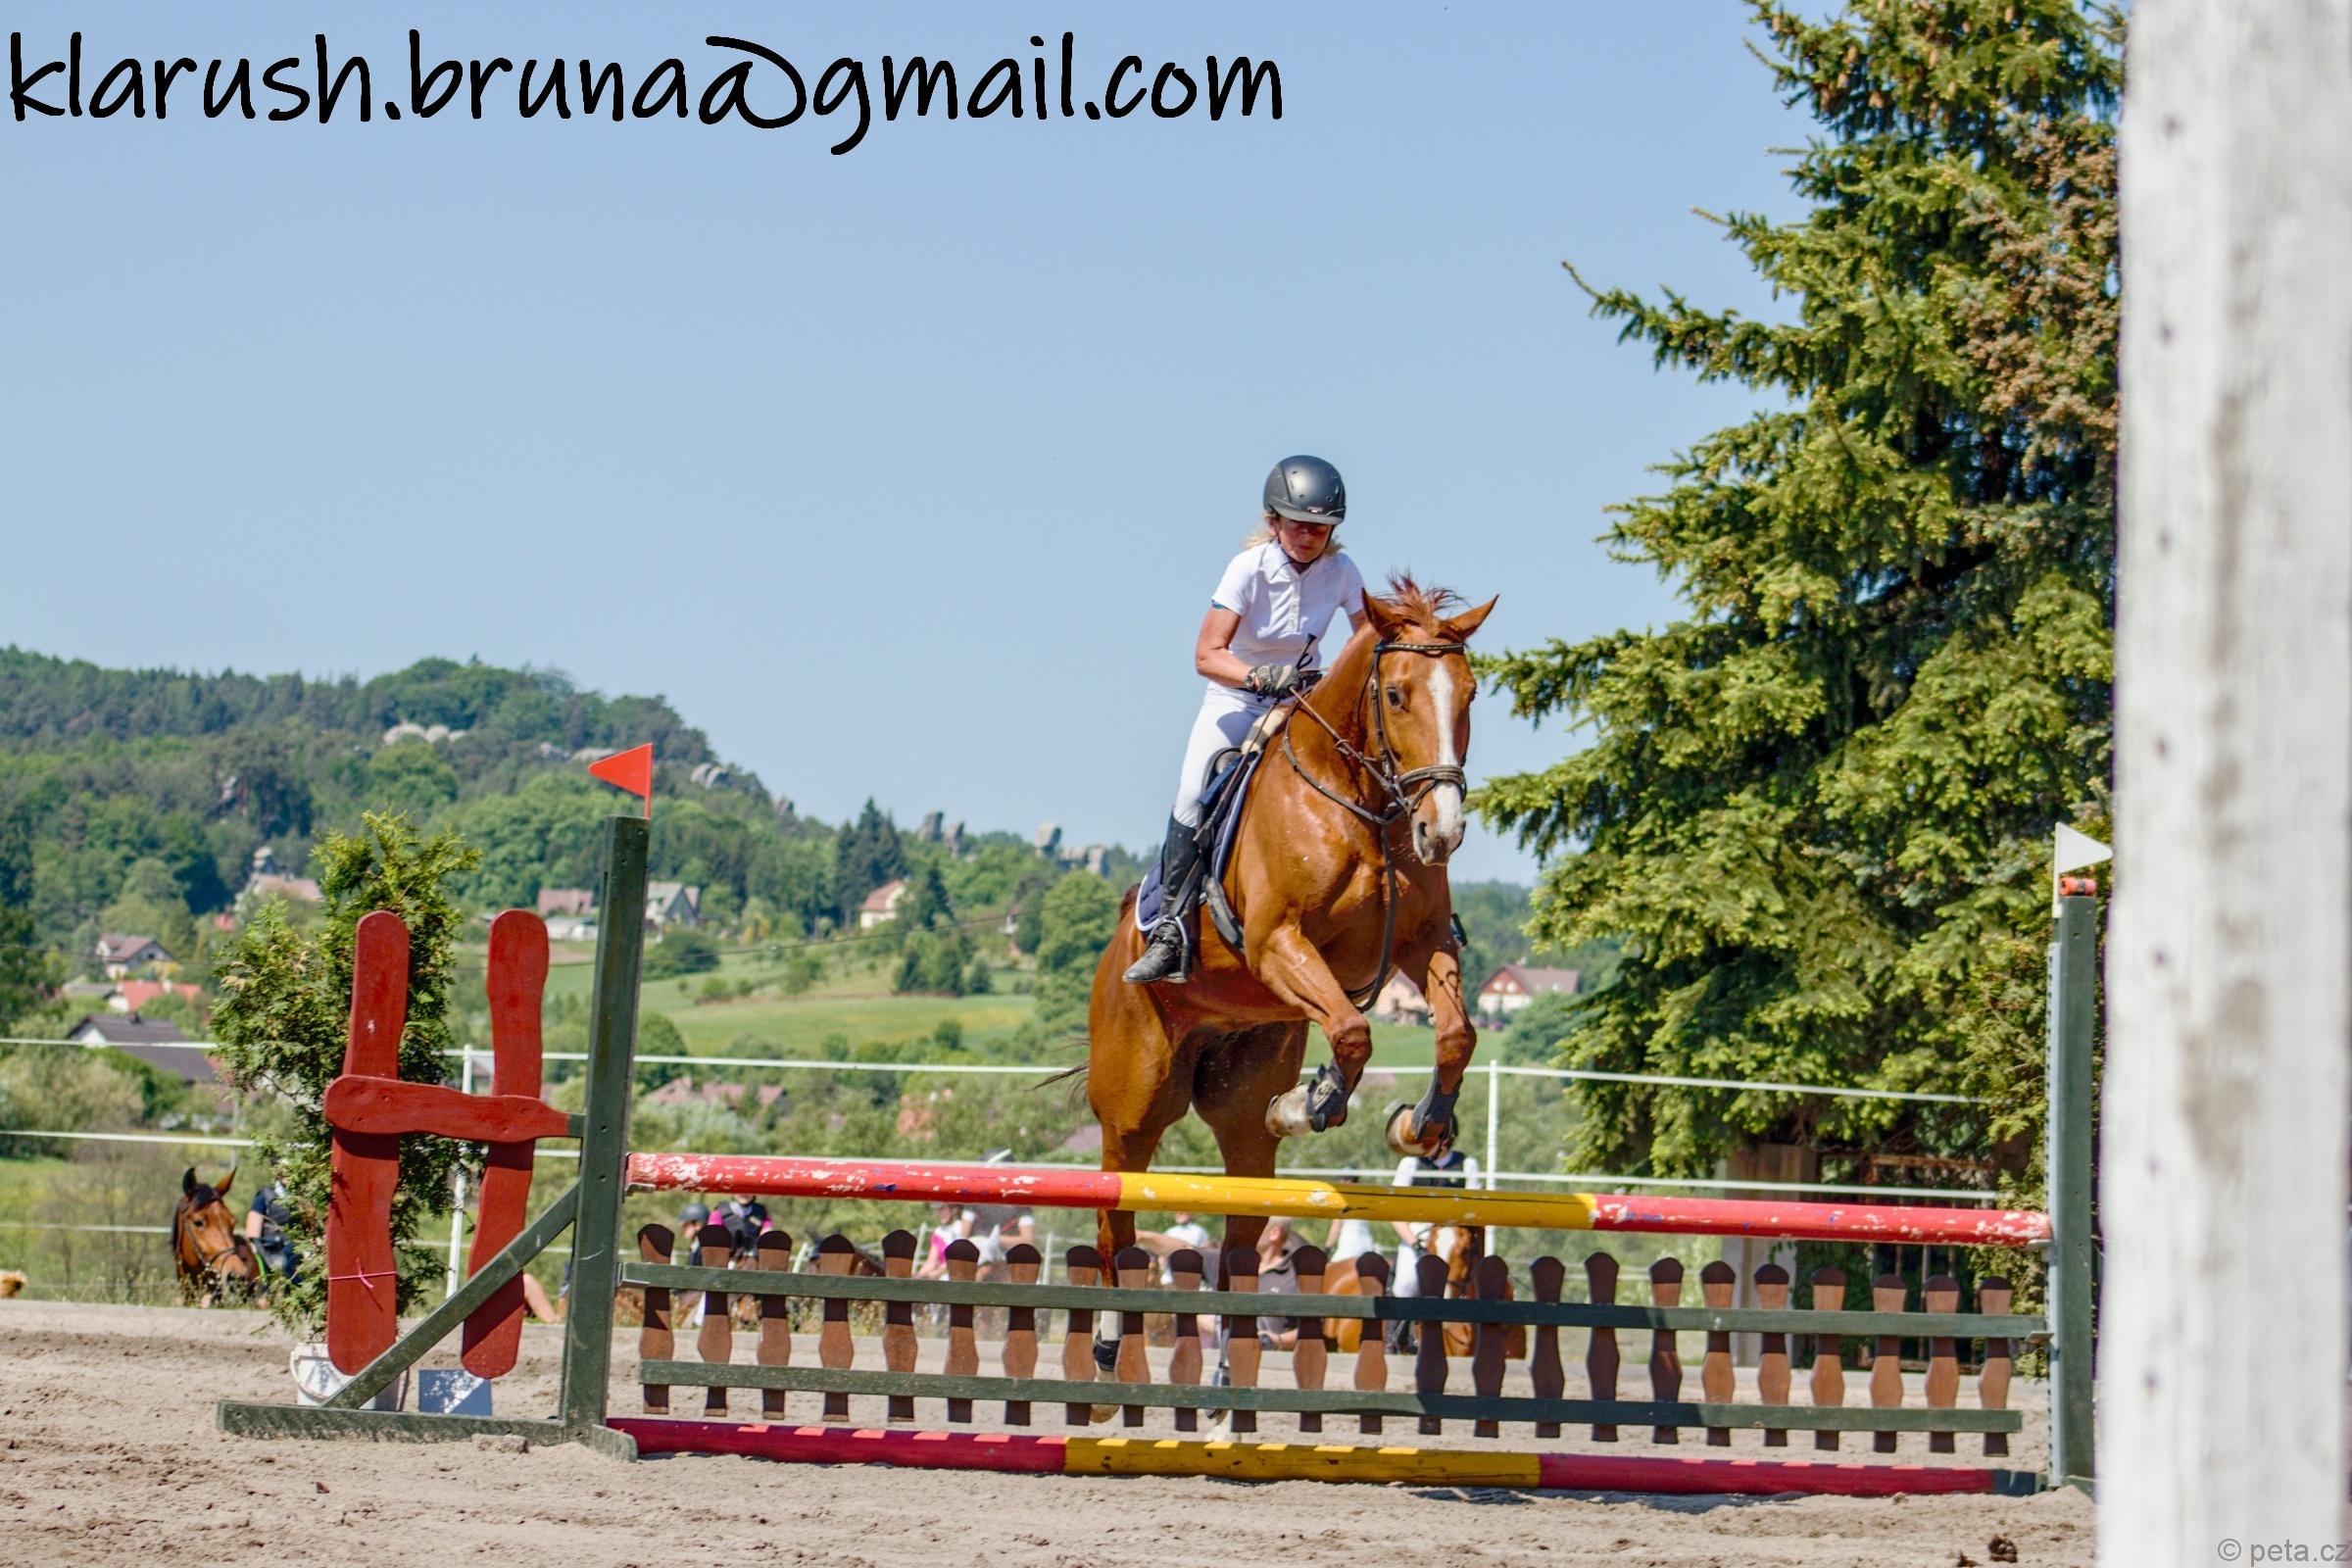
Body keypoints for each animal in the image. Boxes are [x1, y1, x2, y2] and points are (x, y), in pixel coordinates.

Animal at [1085, 577, 1497, 1267]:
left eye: (1469, 695)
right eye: (1395, 695)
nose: (1441, 833)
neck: (1360, 804)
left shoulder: (1423, 942)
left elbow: (1454, 1035)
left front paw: (1417, 1126)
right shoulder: (1277, 943)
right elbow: (1354, 1031)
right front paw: (1313, 1103)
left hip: (1241, 1104)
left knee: (1241, 1223)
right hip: (1132, 1108)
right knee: (1115, 1225)